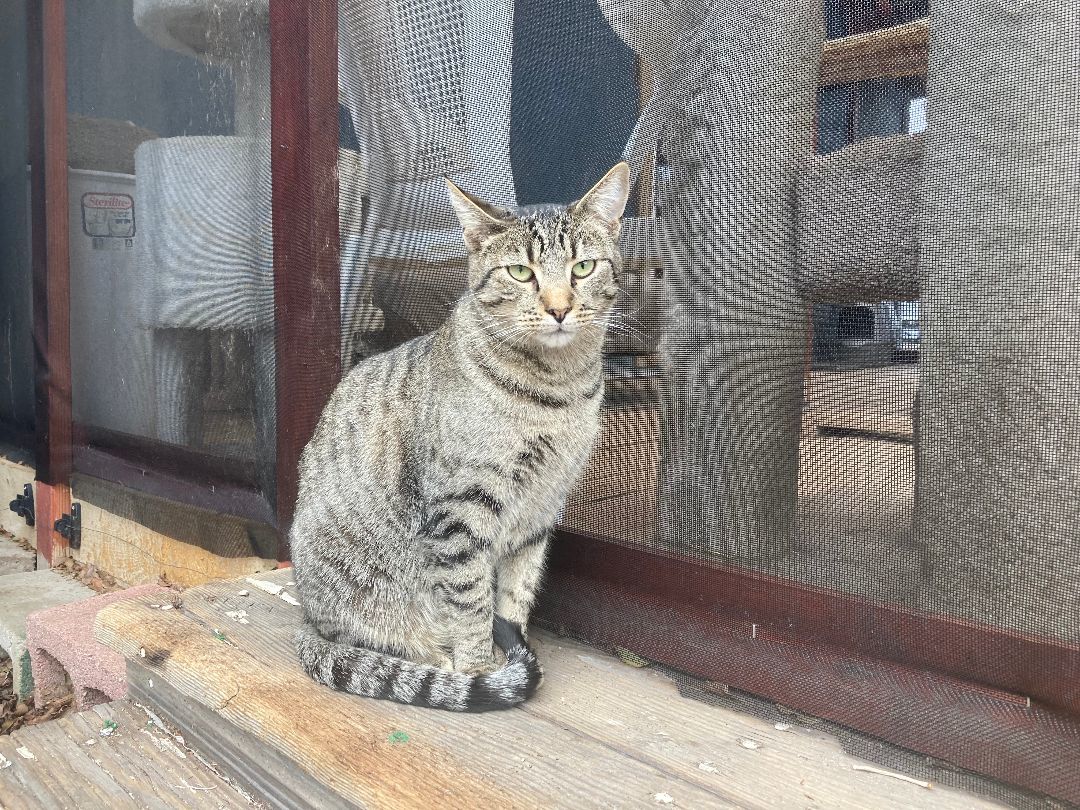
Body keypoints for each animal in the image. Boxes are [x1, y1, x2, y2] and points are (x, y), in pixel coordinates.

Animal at [293, 159, 630, 708]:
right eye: (521, 272)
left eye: (582, 268)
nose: (559, 308)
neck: (557, 391)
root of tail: (307, 621)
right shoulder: (461, 511)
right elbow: (471, 602)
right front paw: (480, 669)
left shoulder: (540, 510)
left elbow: (514, 596)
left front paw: (508, 646)